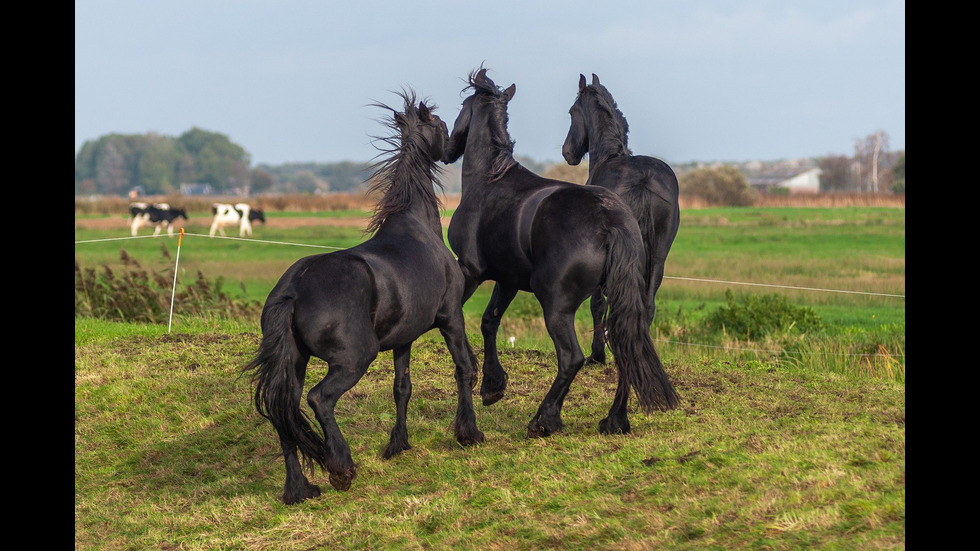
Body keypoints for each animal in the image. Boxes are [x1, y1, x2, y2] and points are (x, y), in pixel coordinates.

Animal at [243, 90, 484, 504]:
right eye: (439, 125)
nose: (456, 146)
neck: (417, 228)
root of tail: (293, 289)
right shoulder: (452, 317)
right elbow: (464, 368)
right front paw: (469, 433)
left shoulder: (404, 338)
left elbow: (402, 388)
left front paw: (398, 445)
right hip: (355, 359)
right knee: (319, 399)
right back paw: (341, 467)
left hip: (295, 363)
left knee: (285, 414)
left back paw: (299, 489)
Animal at [564, 73, 676, 366]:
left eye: (572, 112)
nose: (567, 152)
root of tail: (643, 180)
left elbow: (597, 304)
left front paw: (598, 354)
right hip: (658, 257)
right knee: (647, 304)